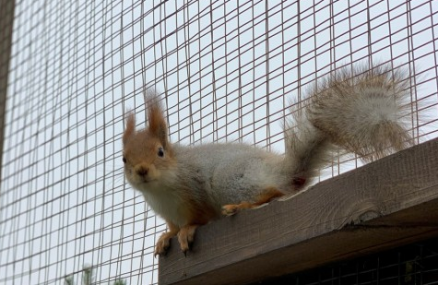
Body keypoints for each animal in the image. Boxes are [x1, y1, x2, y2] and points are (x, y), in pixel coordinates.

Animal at [122, 64, 414, 255]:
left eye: (161, 151)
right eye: (124, 160)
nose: (142, 170)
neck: (160, 191)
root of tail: (285, 171)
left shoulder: (194, 189)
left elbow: (199, 218)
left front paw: (186, 230)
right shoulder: (167, 212)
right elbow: (172, 226)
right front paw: (166, 236)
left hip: (229, 179)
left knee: (273, 193)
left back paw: (241, 206)